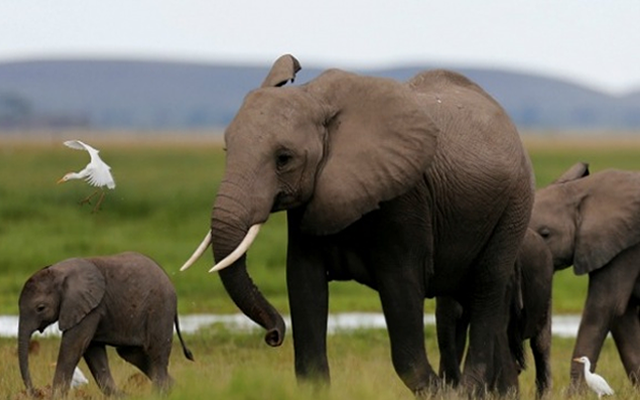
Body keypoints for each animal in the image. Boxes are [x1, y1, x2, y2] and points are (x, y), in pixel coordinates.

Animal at [18, 251, 194, 398]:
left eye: (41, 308)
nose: (35, 393)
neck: (60, 271)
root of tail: (170, 282)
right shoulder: (90, 308)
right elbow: (92, 351)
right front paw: (123, 397)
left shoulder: (89, 308)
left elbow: (73, 346)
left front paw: (56, 397)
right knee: (132, 354)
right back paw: (176, 389)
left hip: (160, 308)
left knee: (156, 353)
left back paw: (161, 394)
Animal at [180, 54, 534, 395]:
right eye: (226, 149)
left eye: (284, 159)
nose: (274, 335)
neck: (315, 97)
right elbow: (303, 282)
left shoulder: (405, 199)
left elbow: (401, 288)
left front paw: (442, 393)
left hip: (513, 207)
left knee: (486, 288)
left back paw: (468, 389)